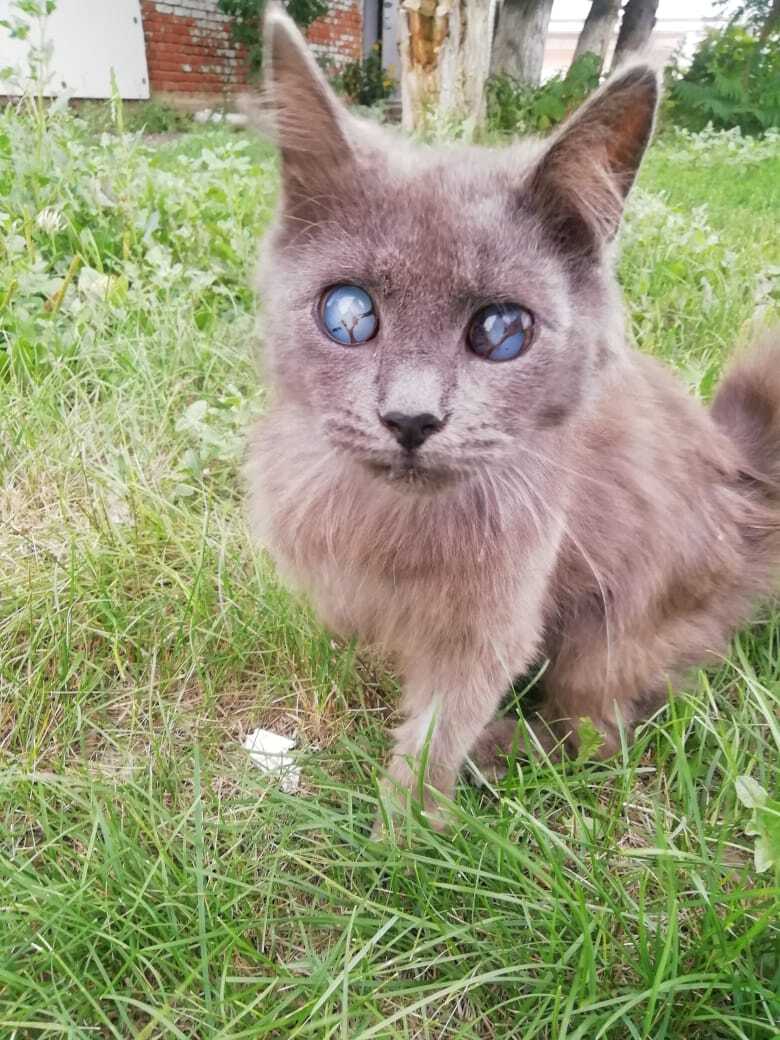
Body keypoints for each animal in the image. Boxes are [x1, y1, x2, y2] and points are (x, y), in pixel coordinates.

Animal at [248, 6, 780, 827]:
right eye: (348, 315)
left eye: (501, 332)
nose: (411, 417)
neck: (394, 528)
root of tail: (746, 477)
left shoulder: (498, 610)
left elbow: (439, 729)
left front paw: (399, 835)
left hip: (616, 631)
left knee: (602, 733)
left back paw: (502, 753)